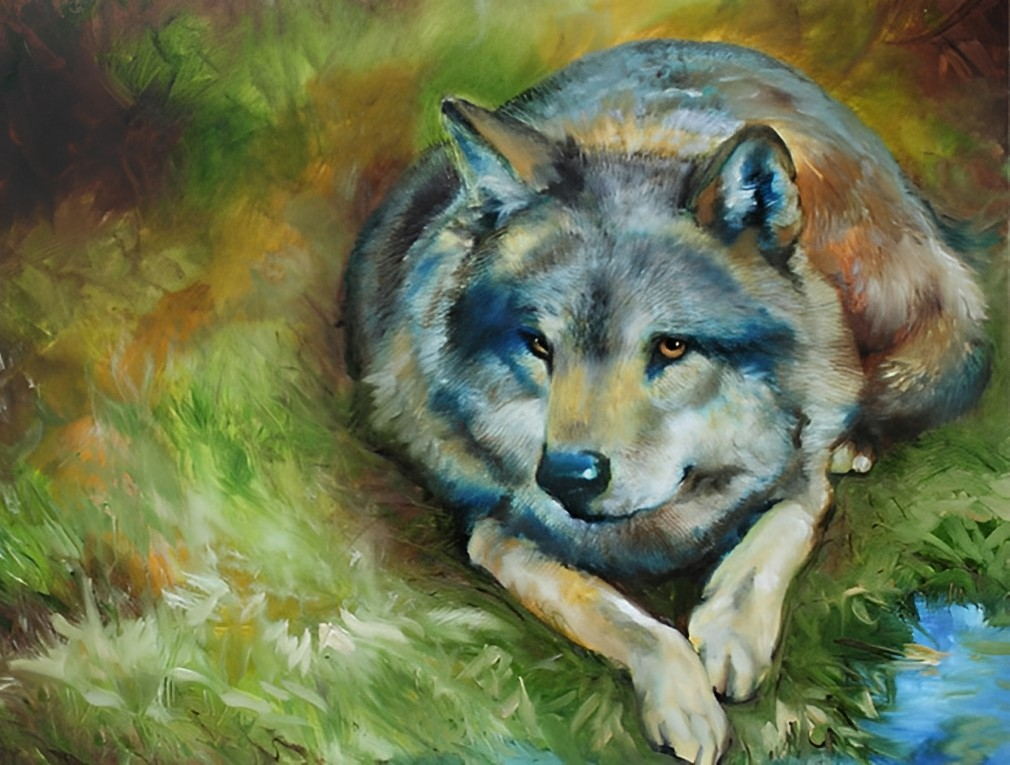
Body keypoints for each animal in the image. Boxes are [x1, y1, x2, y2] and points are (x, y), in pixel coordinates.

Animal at [342, 39, 989, 763]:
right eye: (539, 344)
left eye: (672, 346)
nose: (567, 474)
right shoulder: (501, 530)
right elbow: (627, 619)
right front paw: (686, 702)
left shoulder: (801, 472)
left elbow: (772, 537)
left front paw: (731, 636)